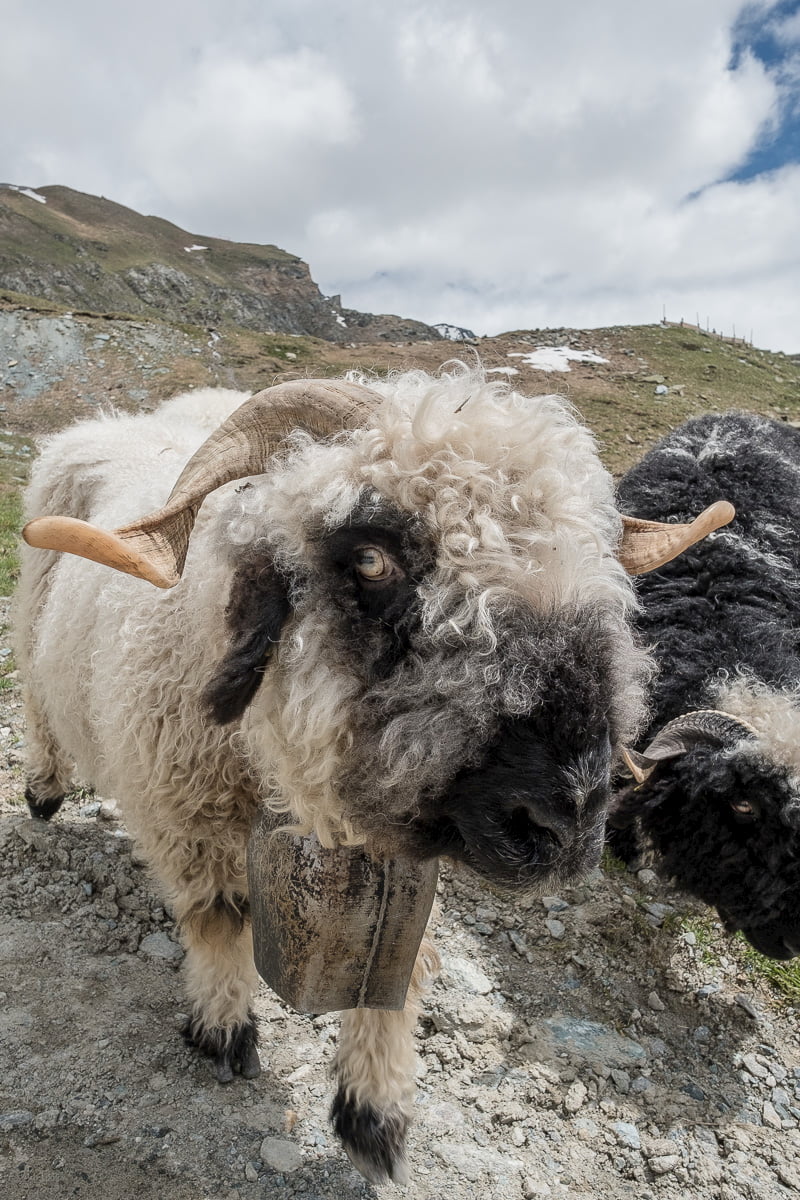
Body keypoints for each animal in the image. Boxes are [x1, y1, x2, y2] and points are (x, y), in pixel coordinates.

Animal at [15, 367, 724, 1180]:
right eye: (371, 558)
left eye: (599, 553)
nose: (567, 816)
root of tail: (115, 419)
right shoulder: (182, 812)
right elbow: (219, 920)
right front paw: (223, 1029)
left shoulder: (410, 853)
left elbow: (397, 973)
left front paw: (375, 1113)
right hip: (32, 613)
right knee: (35, 699)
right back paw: (43, 790)